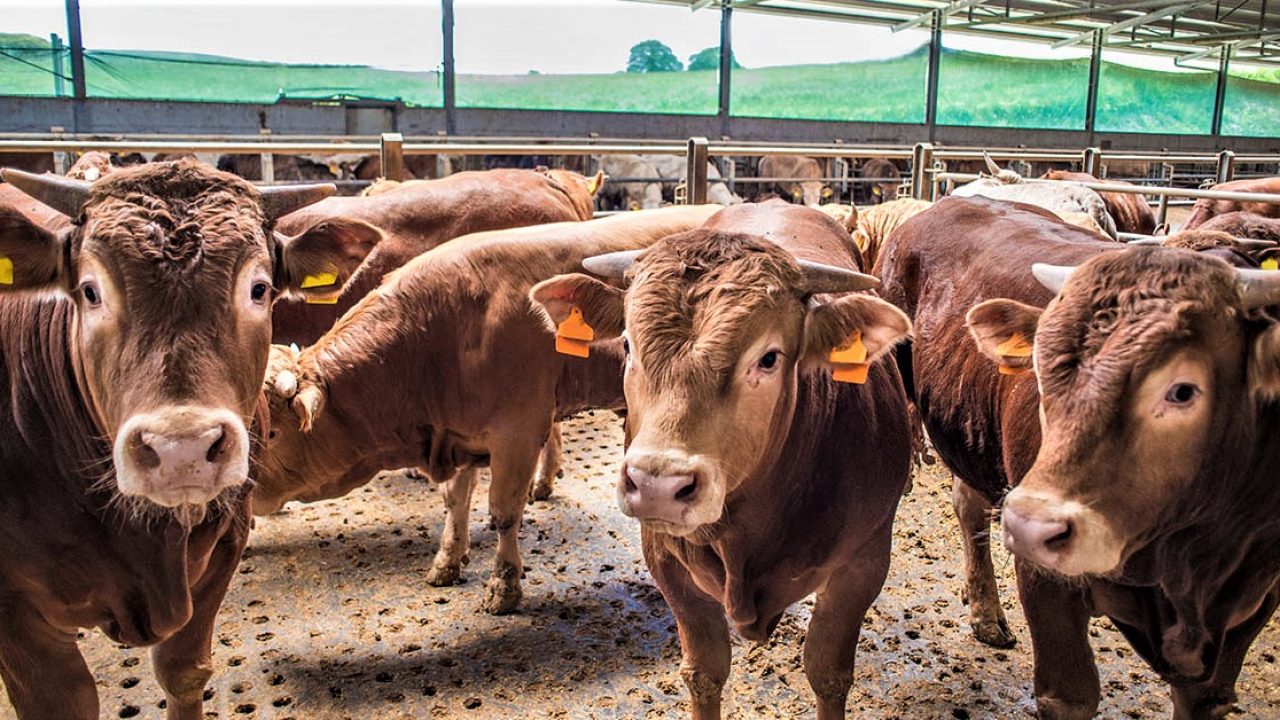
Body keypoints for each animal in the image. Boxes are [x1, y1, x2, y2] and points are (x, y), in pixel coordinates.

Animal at [0, 162, 376, 717]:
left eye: (259, 288)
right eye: (90, 290)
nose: (183, 450)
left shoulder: (225, 542)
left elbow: (183, 672)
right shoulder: (16, 613)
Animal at [259, 204, 721, 614]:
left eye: (271, 433)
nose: (247, 496)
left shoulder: (517, 432)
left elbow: (502, 512)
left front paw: (504, 584)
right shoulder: (458, 432)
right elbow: (454, 501)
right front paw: (447, 560)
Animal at [527, 198, 911, 712]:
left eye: (768, 358)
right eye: (627, 344)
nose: (658, 486)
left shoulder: (864, 564)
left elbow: (828, 673)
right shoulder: (667, 561)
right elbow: (705, 671)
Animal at [967, 248, 1280, 717]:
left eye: (1182, 391)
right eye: (1039, 374)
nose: (1029, 526)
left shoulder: (1255, 603)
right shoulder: (1045, 582)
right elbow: (1070, 693)